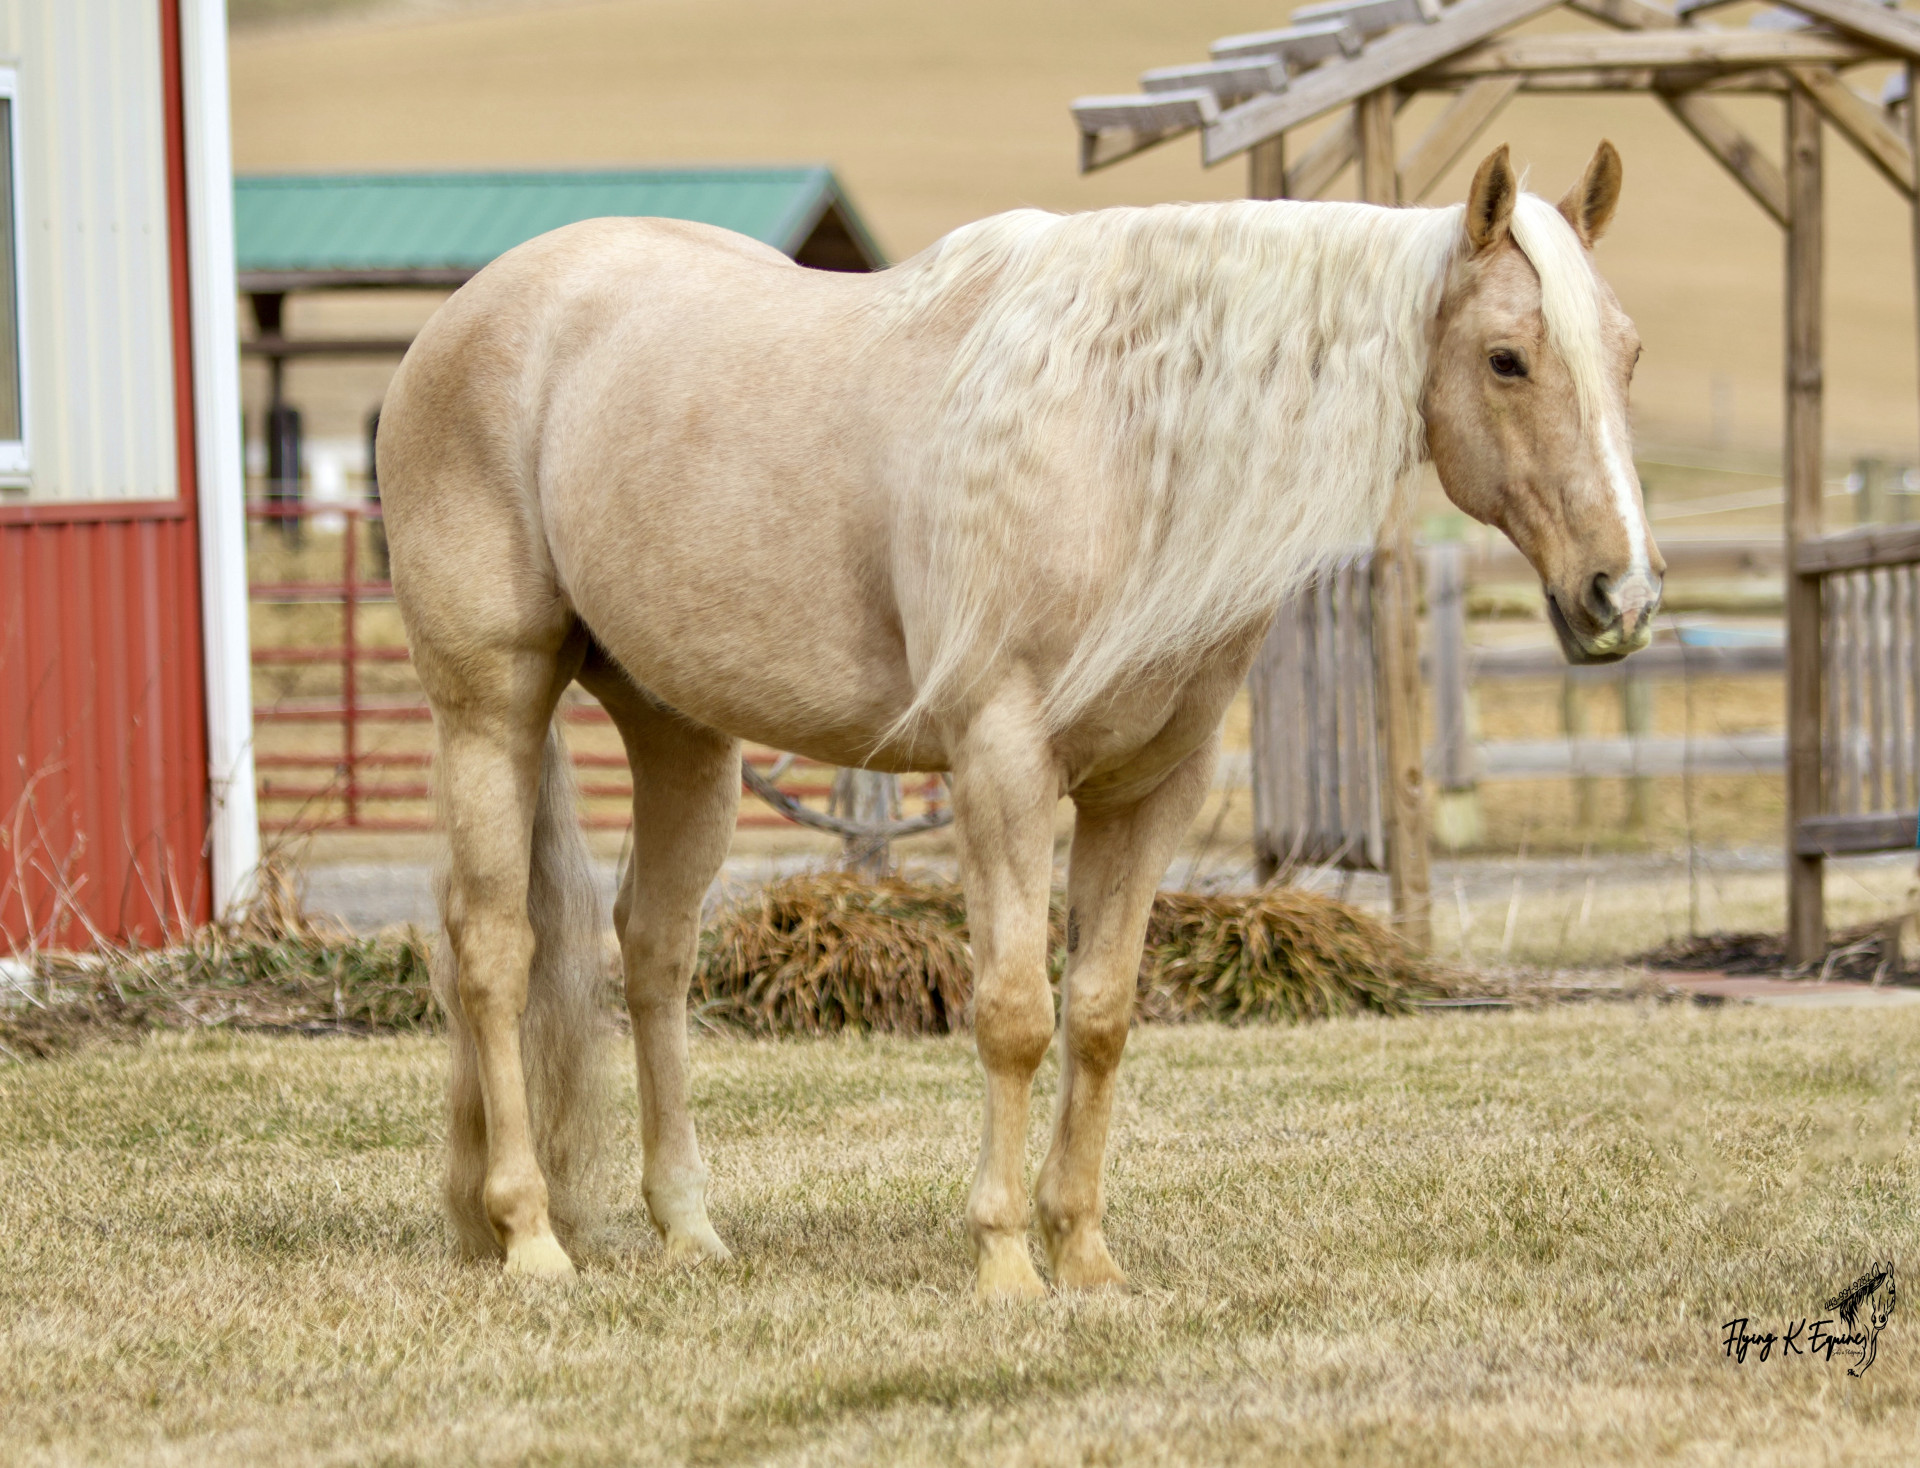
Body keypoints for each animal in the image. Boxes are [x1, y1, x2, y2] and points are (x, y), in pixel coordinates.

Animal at [377, 142, 1661, 1298]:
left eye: (1629, 353)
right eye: (1507, 358)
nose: (1624, 595)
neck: (1117, 440)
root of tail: (471, 316)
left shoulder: (1148, 792)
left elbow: (1097, 1014)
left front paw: (1082, 1255)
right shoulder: (1000, 767)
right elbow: (1011, 1013)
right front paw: (1003, 1263)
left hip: (679, 731)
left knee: (653, 949)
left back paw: (689, 1229)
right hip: (491, 707)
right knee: (495, 951)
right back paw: (529, 1235)